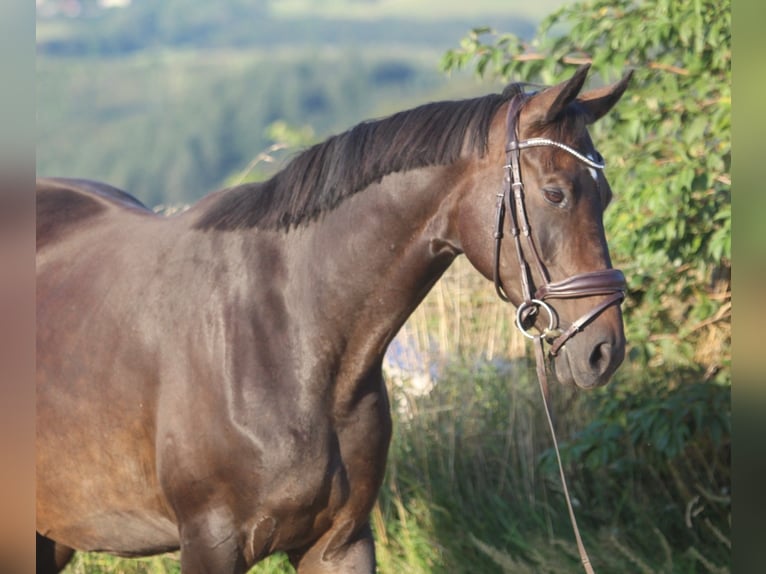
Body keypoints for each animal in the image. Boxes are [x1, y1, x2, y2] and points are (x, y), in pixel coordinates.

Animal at [36, 65, 632, 572]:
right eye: (555, 193)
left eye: (604, 193)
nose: (604, 349)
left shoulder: (339, 542)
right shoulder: (210, 544)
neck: (292, 334)